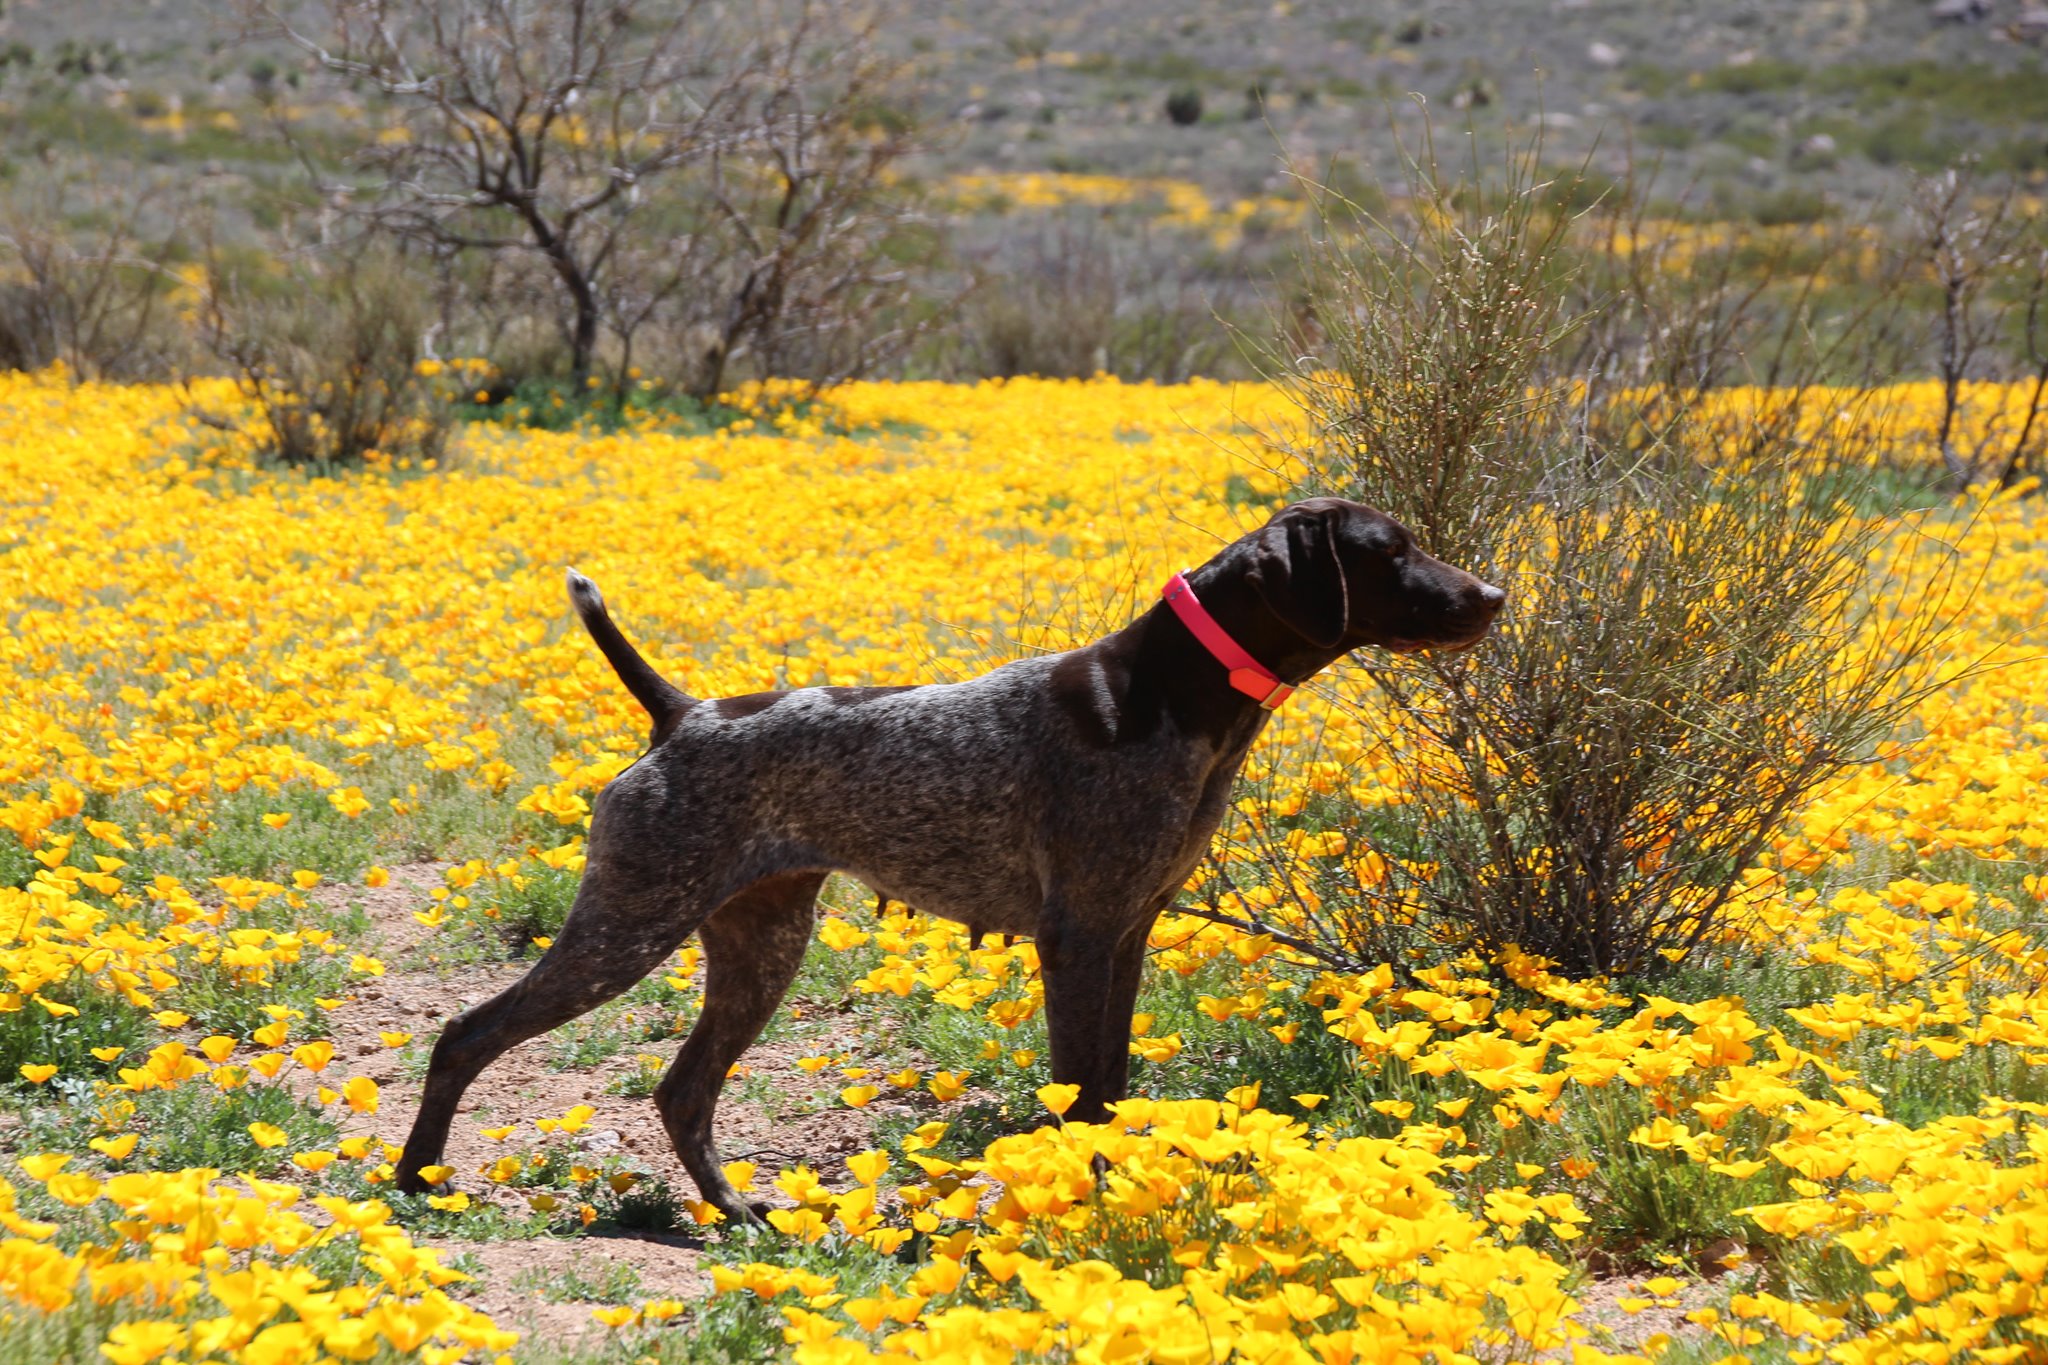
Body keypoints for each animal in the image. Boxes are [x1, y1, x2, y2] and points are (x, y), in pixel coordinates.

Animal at [395, 499, 1507, 1219]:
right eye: (1392, 550)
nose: (1494, 593)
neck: (1175, 696)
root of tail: (683, 715)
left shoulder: (1128, 934)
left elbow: (1110, 1085)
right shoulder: (1077, 937)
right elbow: (1079, 1092)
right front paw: (1084, 1206)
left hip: (759, 945)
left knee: (682, 1092)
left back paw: (738, 1216)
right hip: (628, 926)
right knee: (465, 1035)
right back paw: (415, 1184)